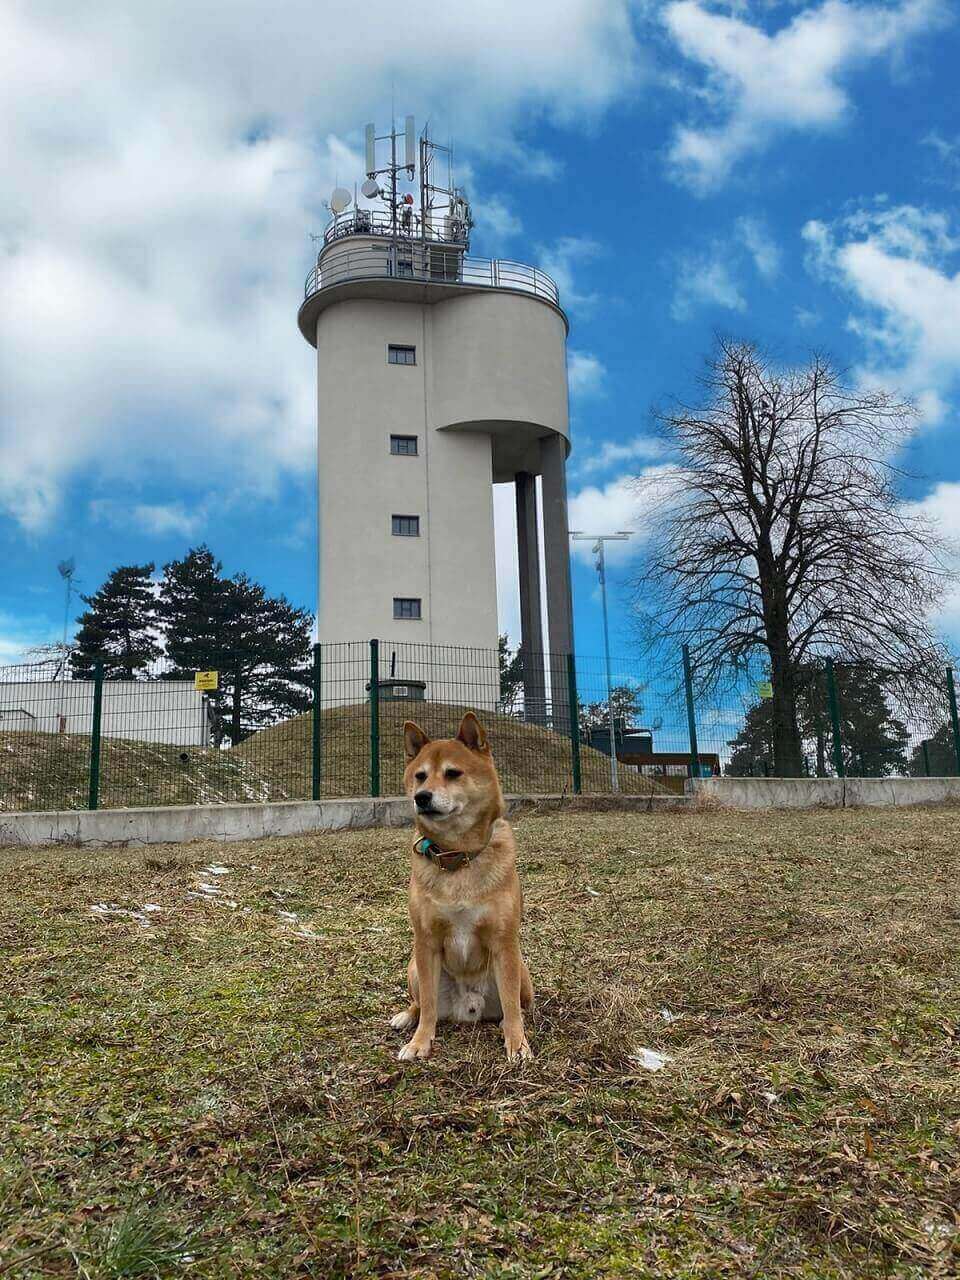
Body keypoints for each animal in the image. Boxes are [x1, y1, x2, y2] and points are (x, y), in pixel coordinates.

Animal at [394, 711, 537, 1059]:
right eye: (420, 776)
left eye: (453, 773)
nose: (421, 797)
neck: (457, 857)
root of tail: (467, 1009)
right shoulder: (426, 941)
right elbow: (428, 1004)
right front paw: (420, 1042)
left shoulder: (503, 942)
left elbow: (511, 1006)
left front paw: (518, 1044)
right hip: (415, 967)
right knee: (422, 1004)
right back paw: (406, 1017)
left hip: (522, 973)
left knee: (516, 1006)